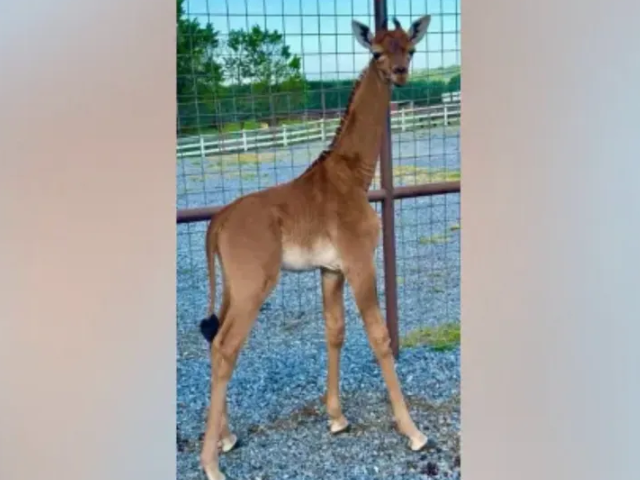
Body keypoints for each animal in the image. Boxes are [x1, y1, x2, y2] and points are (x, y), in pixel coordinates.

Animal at [198, 15, 432, 480]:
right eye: (377, 52)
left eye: (410, 48)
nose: (400, 73)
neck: (355, 175)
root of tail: (217, 223)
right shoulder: (360, 261)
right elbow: (379, 335)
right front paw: (413, 431)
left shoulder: (331, 270)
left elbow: (335, 331)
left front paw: (337, 417)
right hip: (254, 285)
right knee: (225, 347)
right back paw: (211, 463)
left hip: (233, 285)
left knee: (215, 342)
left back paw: (226, 437)